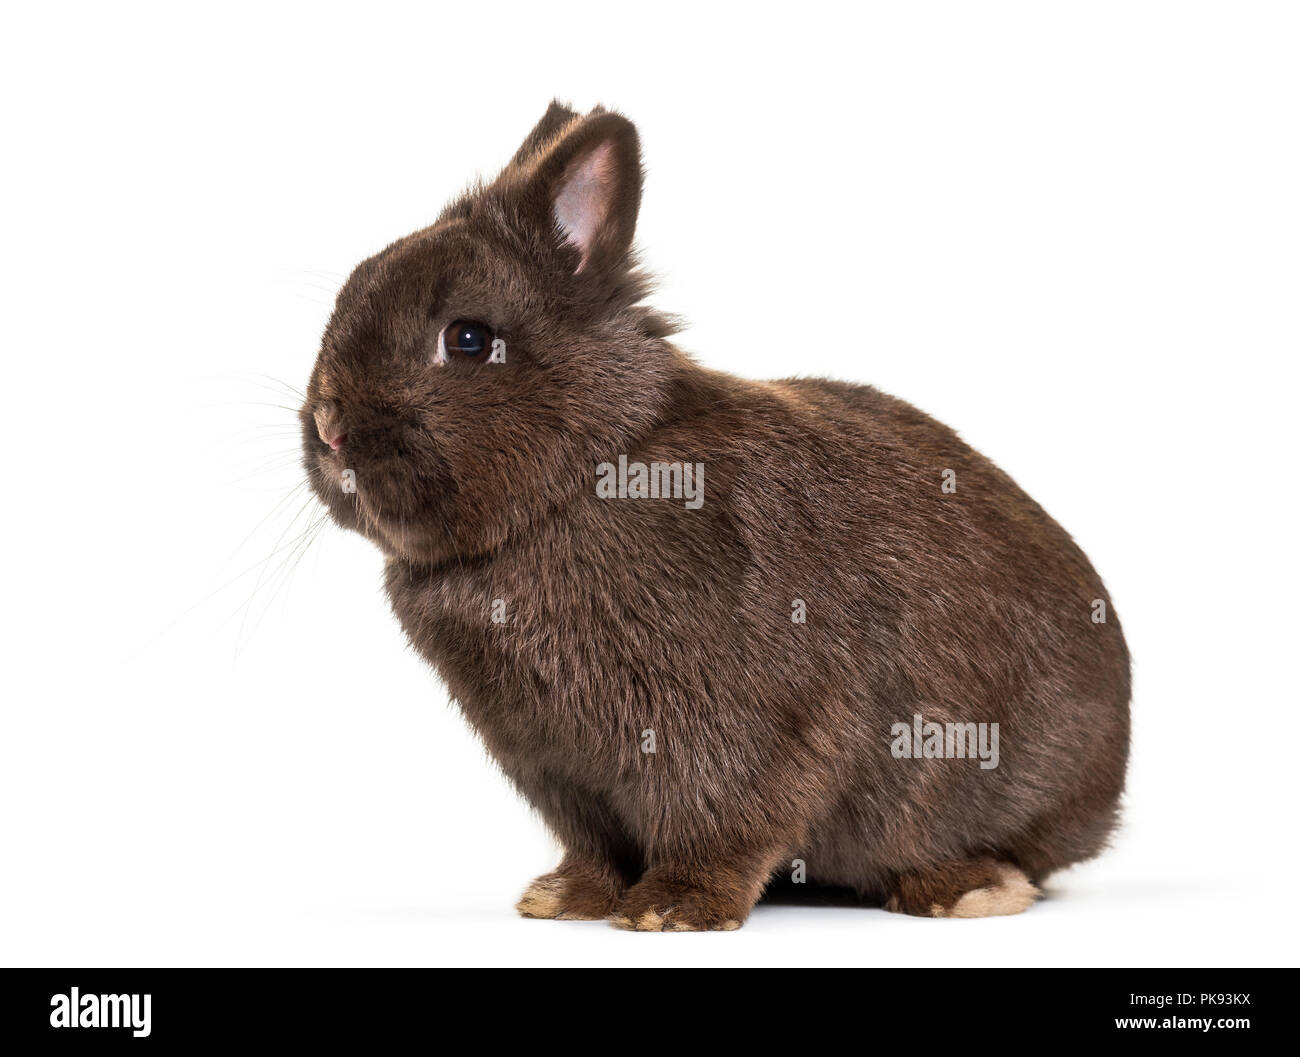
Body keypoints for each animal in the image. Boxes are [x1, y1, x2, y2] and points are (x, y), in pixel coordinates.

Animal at [299, 101, 1130, 931]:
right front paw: (566, 898)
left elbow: (721, 816)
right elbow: (596, 843)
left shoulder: (746, 727)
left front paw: (671, 908)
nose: (330, 428)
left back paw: (967, 887)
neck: (584, 477)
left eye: (468, 339)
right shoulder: (556, 769)